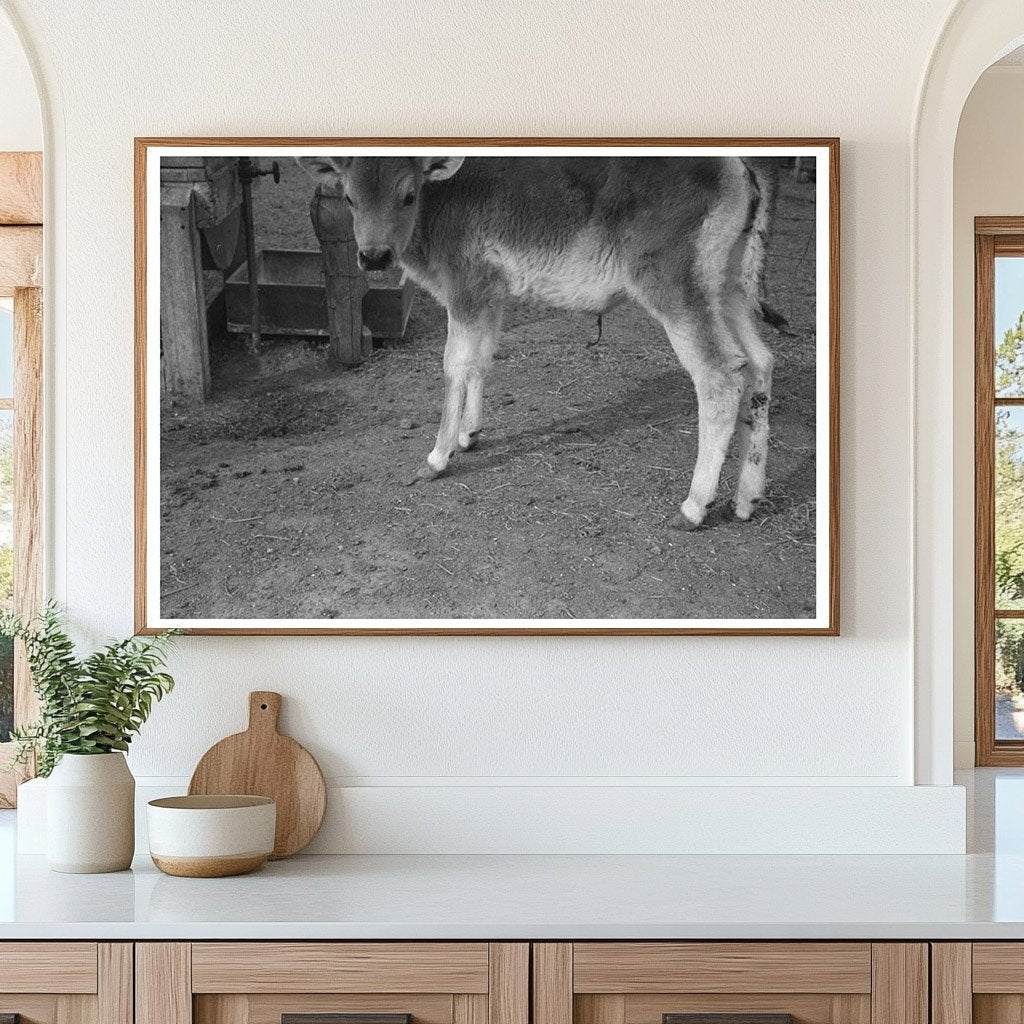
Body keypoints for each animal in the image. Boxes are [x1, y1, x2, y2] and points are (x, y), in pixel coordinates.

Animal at [299, 157, 778, 536]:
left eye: (409, 194)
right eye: (349, 198)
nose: (373, 255)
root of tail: (740, 168)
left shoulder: (465, 288)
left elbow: (455, 364)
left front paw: (437, 457)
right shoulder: (491, 294)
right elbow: (481, 360)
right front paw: (469, 435)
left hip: (674, 286)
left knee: (720, 375)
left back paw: (694, 507)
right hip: (727, 285)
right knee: (758, 363)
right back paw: (746, 500)